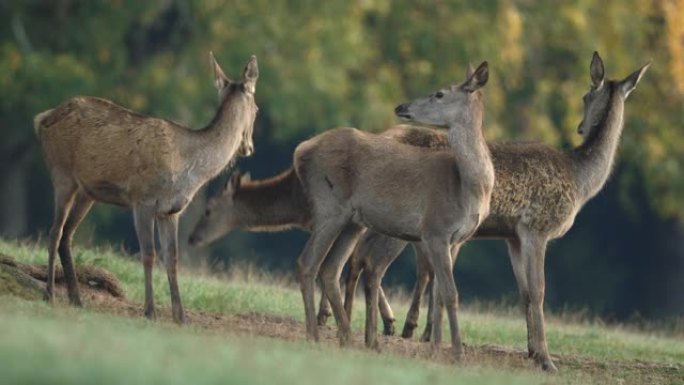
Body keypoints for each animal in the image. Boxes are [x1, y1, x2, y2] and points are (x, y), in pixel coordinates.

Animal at [34, 51, 260, 322]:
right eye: (257, 109)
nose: (249, 147)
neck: (189, 169)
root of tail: (42, 118)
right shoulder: (143, 200)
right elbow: (149, 254)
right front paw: (150, 310)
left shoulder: (171, 210)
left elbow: (172, 258)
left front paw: (180, 316)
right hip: (62, 173)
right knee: (54, 232)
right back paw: (49, 294)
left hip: (87, 191)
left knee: (67, 234)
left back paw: (76, 299)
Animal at [292, 60, 494, 360]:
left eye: (439, 94)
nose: (401, 107)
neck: (468, 188)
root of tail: (300, 150)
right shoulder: (435, 229)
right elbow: (451, 293)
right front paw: (457, 354)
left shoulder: (454, 239)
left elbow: (439, 296)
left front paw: (435, 350)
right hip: (330, 205)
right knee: (308, 263)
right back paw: (315, 336)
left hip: (353, 220)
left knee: (330, 269)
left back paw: (349, 337)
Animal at [344, 51, 648, 372]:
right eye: (584, 95)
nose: (579, 127)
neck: (580, 181)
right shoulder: (537, 227)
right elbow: (538, 291)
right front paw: (546, 359)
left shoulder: (512, 236)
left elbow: (524, 292)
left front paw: (532, 351)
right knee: (371, 262)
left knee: (359, 255)